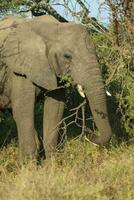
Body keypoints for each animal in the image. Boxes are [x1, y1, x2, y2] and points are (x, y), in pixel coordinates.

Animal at [0, 15, 112, 159]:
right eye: (67, 56)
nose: (89, 134)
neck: (52, 28)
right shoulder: (19, 70)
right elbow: (23, 109)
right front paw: (30, 165)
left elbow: (56, 106)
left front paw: (51, 163)